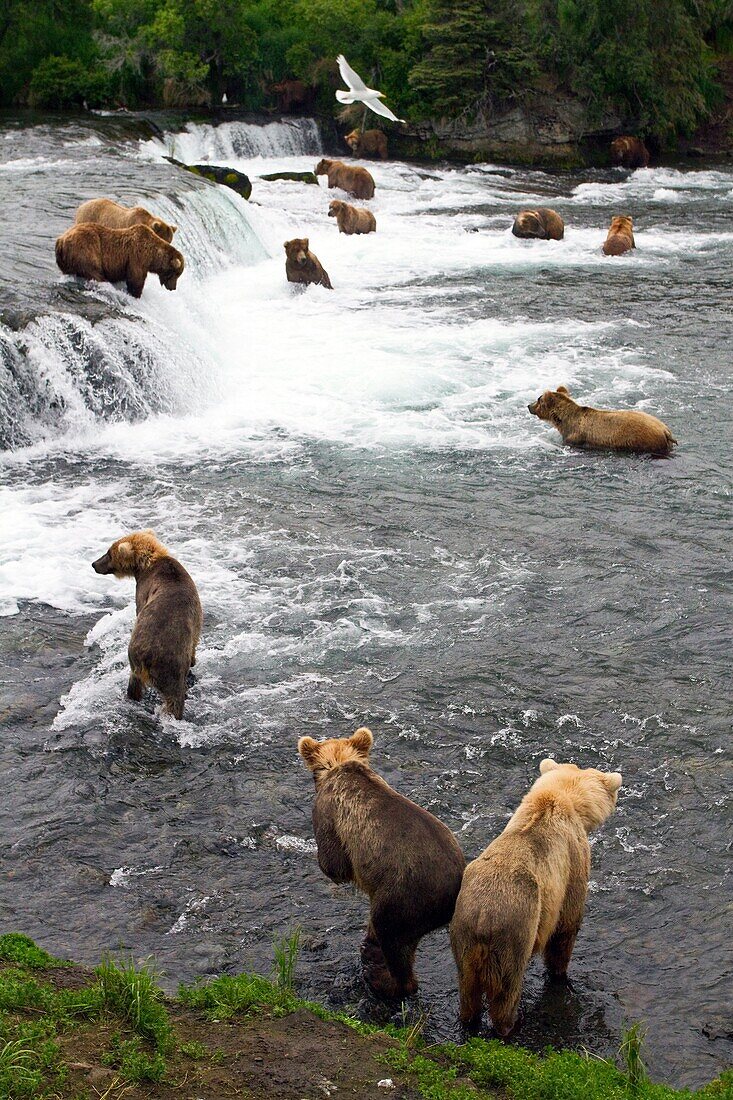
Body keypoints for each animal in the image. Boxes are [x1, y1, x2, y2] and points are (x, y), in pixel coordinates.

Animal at [55, 221, 183, 299]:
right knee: (94, 271)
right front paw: (136, 294)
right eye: (176, 274)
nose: (173, 288)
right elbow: (136, 279)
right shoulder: (137, 257)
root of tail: (61, 240)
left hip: (66, 261)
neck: (152, 256)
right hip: (86, 249)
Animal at [90, 532, 202, 721]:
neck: (145, 565)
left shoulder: (145, 589)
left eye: (109, 553)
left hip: (159, 664)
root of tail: (148, 657)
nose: (94, 564)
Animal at [294, 726, 462, 1003]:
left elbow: (334, 864)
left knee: (391, 939)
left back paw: (381, 981)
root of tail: (453, 892)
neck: (339, 764)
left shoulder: (328, 814)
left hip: (402, 897)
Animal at [449, 761, 620, 1034]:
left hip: (462, 937)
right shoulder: (572, 862)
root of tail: (483, 917)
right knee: (506, 991)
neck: (560, 797)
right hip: (514, 934)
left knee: (468, 991)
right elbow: (566, 926)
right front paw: (560, 975)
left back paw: (469, 1021)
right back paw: (510, 1024)